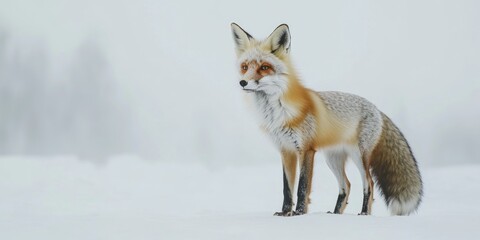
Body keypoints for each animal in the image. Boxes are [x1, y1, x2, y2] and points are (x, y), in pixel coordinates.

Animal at [231, 23, 422, 217]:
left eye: (264, 67)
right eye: (245, 67)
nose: (242, 82)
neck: (278, 113)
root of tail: (377, 109)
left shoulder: (306, 149)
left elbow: (302, 187)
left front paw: (299, 212)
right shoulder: (286, 151)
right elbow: (287, 189)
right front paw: (285, 213)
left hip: (359, 155)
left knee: (369, 183)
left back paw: (364, 213)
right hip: (333, 158)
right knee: (346, 185)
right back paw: (336, 213)